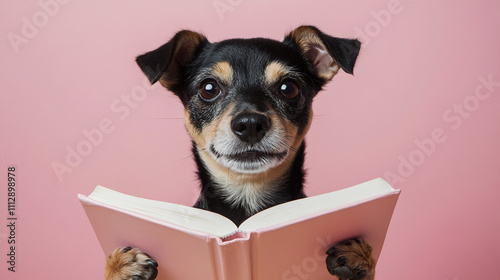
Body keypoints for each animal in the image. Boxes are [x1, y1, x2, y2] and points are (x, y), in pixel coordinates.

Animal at [105, 26, 376, 280]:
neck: (247, 195)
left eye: (288, 87)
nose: (250, 124)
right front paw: (119, 265)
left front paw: (361, 255)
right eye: (209, 88)